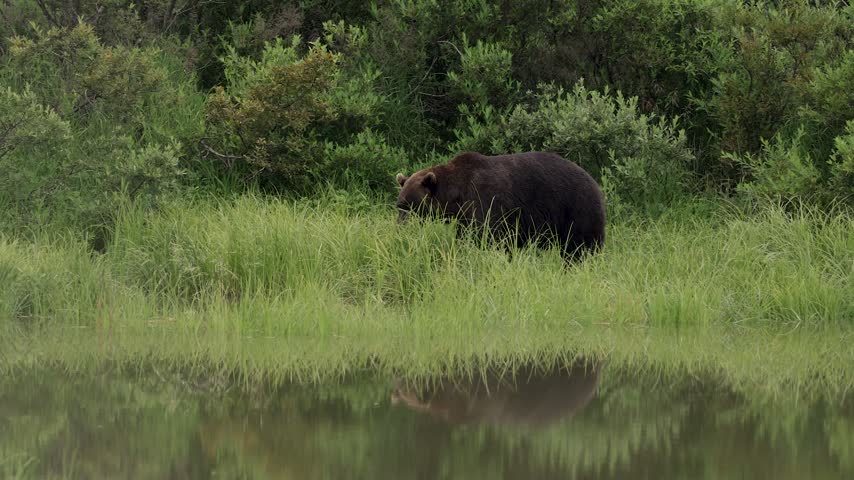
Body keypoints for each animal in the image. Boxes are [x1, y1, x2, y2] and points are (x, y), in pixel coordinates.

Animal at [395, 151, 606, 261]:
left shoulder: (487, 202)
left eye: (411, 206)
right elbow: (466, 237)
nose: (400, 227)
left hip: (577, 207)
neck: (457, 197)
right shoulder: (465, 217)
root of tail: (595, 182)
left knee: (581, 246)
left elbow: (490, 238)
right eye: (399, 206)